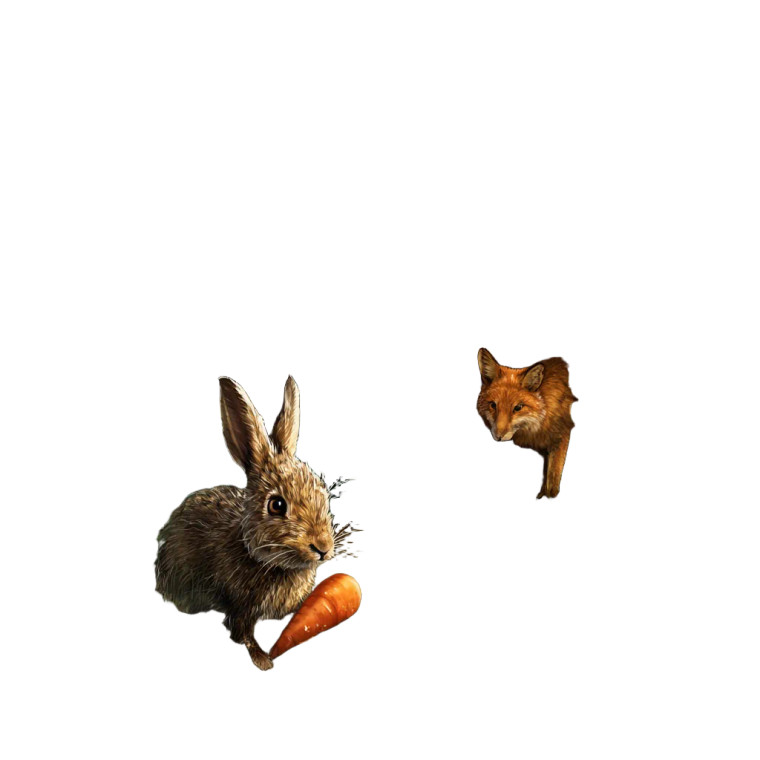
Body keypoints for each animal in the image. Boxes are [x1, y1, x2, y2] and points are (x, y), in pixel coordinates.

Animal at [155, 376, 346, 670]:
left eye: (324, 493)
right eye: (277, 505)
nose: (323, 547)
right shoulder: (240, 608)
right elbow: (241, 634)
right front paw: (263, 660)